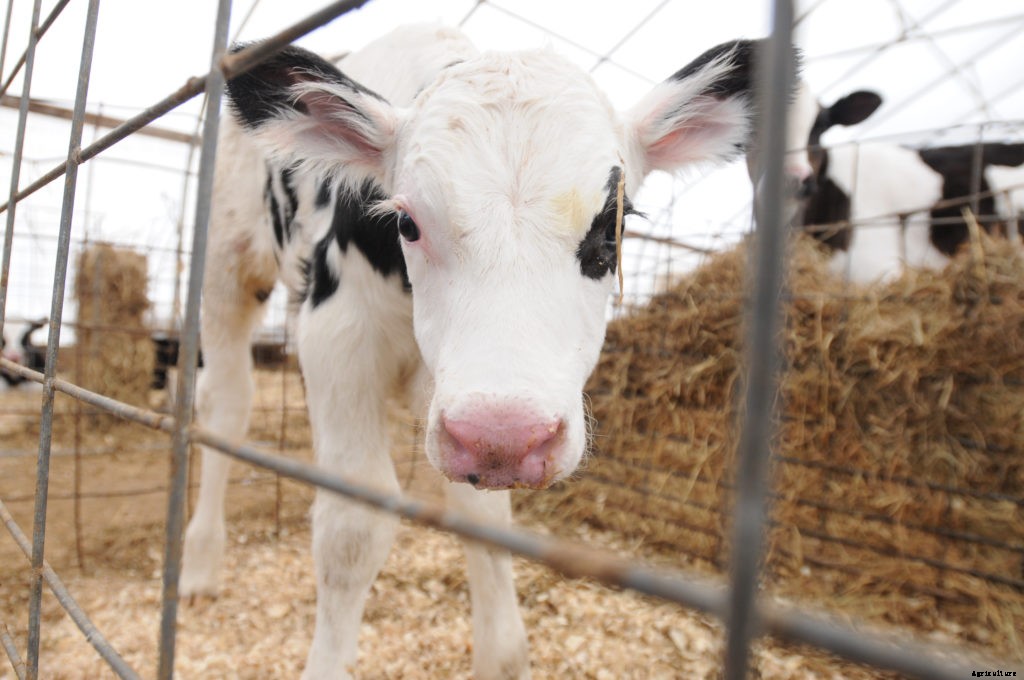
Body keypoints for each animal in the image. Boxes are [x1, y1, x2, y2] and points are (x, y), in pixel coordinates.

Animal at [178, 24, 774, 679]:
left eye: (612, 229)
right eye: (407, 223)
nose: (505, 436)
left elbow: (485, 519)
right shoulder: (338, 337)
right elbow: (353, 527)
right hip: (226, 266)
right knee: (226, 405)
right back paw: (199, 565)